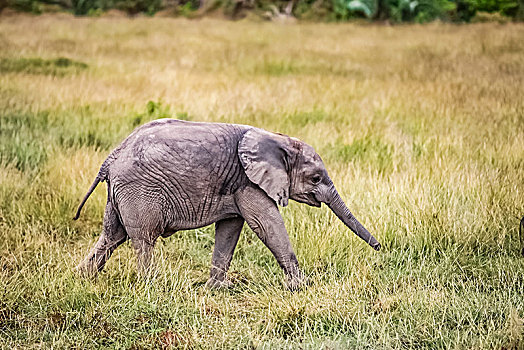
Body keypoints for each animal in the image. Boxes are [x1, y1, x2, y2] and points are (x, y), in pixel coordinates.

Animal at [74, 120, 380, 290]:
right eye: (315, 178)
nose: (379, 248)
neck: (276, 138)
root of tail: (111, 158)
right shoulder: (250, 183)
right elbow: (267, 225)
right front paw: (301, 287)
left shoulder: (237, 186)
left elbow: (230, 229)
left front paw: (216, 289)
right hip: (139, 191)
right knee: (143, 239)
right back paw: (153, 285)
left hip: (119, 194)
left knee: (111, 236)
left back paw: (81, 279)